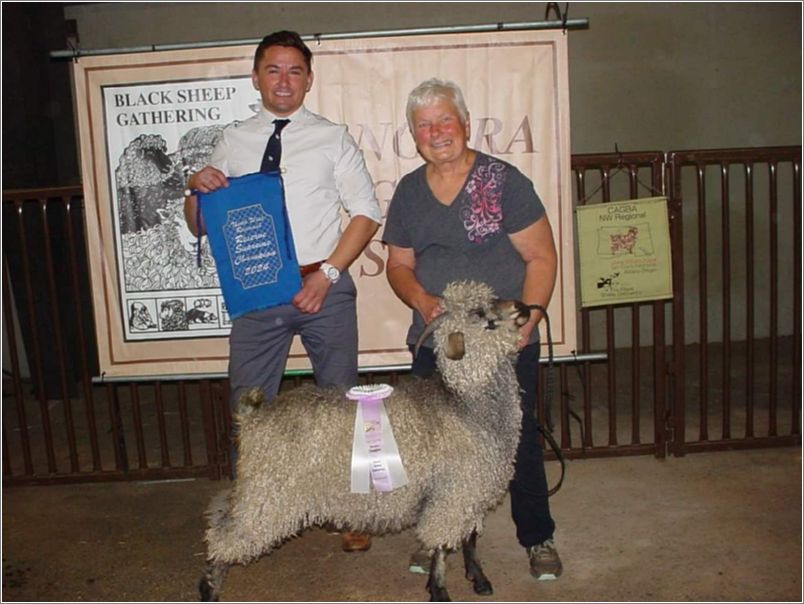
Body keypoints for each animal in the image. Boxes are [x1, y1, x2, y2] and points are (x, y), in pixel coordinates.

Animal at [198, 280, 532, 600]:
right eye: (478, 313)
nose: (524, 306)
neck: (466, 403)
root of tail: (252, 415)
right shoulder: (453, 492)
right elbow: (440, 545)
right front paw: (439, 591)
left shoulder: (471, 490)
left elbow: (469, 538)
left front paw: (478, 579)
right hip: (268, 493)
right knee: (226, 535)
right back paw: (209, 587)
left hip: (261, 491)